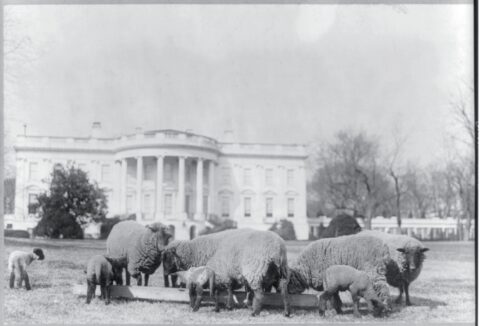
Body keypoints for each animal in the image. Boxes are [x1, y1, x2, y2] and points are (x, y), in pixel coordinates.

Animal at [161, 228, 290, 318]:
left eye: (168, 257)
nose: (165, 273)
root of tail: (277, 249)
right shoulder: (225, 274)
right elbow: (228, 289)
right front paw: (230, 305)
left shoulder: (221, 272)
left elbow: (224, 290)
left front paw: (228, 305)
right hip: (280, 274)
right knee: (284, 292)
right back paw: (286, 313)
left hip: (254, 271)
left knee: (259, 295)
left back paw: (254, 313)